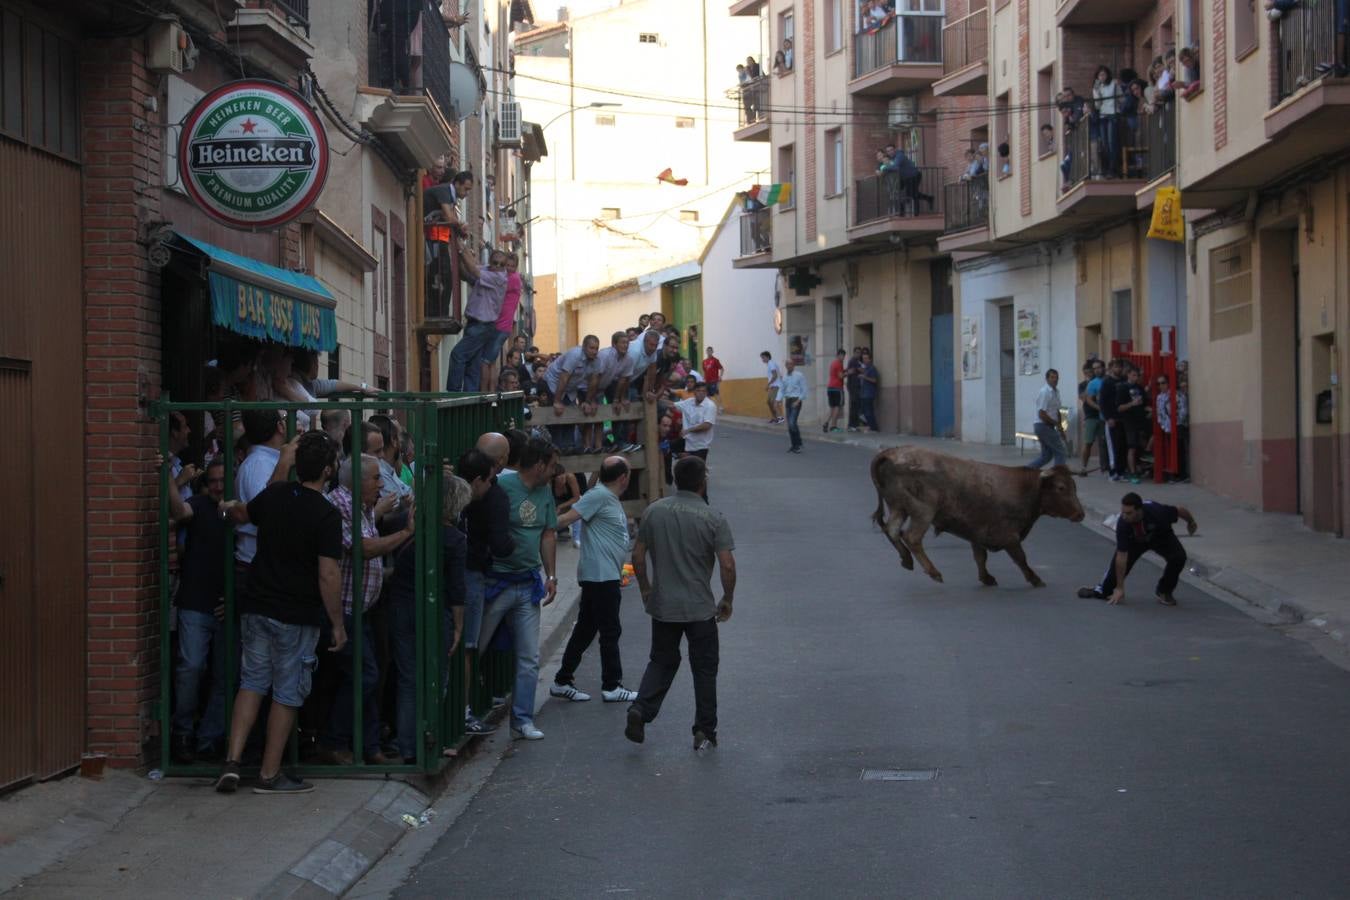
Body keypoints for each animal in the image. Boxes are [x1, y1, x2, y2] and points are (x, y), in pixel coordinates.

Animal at [874, 447, 1085, 588]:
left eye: (1074, 486)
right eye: (1061, 487)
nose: (1080, 514)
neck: (1026, 488)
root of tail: (891, 453)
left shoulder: (977, 533)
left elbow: (980, 557)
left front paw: (986, 577)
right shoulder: (1009, 536)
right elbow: (1020, 558)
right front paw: (1035, 578)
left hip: (899, 508)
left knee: (891, 530)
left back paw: (906, 559)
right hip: (922, 512)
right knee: (911, 537)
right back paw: (933, 572)